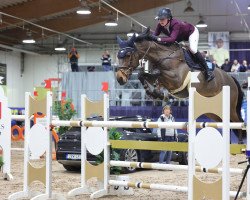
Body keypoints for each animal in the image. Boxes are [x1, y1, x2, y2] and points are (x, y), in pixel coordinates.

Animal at [116, 34, 244, 142]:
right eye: (118, 56)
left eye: (128, 55)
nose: (119, 78)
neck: (163, 57)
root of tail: (231, 78)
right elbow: (142, 75)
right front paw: (154, 92)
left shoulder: (176, 80)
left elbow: (157, 74)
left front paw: (157, 93)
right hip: (212, 110)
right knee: (225, 123)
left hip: (230, 107)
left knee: (238, 122)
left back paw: (240, 144)